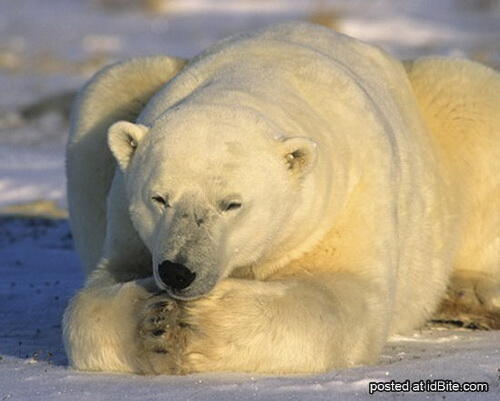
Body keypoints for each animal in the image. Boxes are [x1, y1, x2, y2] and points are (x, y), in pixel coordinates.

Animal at [63, 21, 500, 372]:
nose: (177, 271)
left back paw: (471, 292)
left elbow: (345, 296)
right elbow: (97, 293)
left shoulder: (347, 196)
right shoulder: (130, 224)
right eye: (159, 199)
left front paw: (199, 322)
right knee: (108, 88)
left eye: (231, 204)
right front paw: (154, 320)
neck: (257, 76)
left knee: (473, 100)